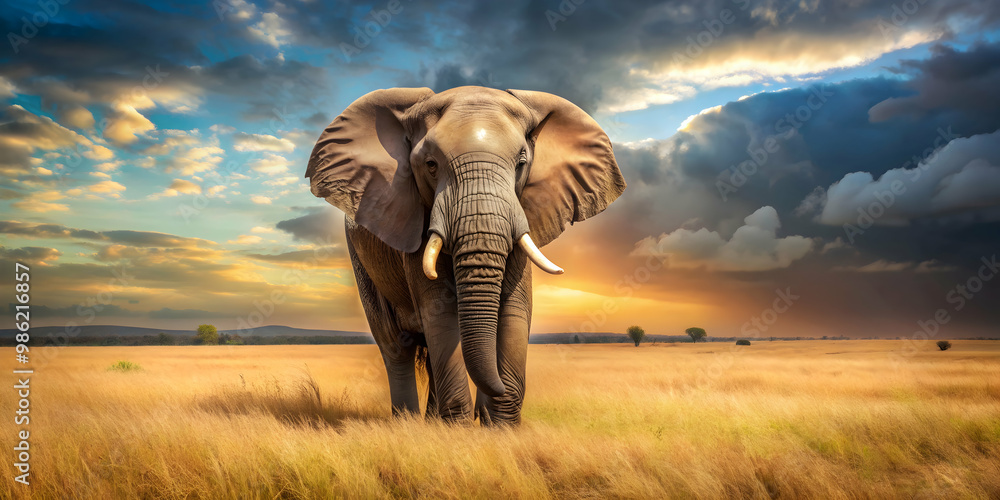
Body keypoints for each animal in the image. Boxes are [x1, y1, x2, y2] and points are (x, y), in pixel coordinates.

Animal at [306, 86, 625, 425]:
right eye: (431, 164)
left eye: (521, 163)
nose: (485, 406)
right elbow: (440, 313)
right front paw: (459, 429)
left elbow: (515, 308)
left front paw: (499, 427)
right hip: (362, 262)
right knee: (395, 346)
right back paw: (408, 423)